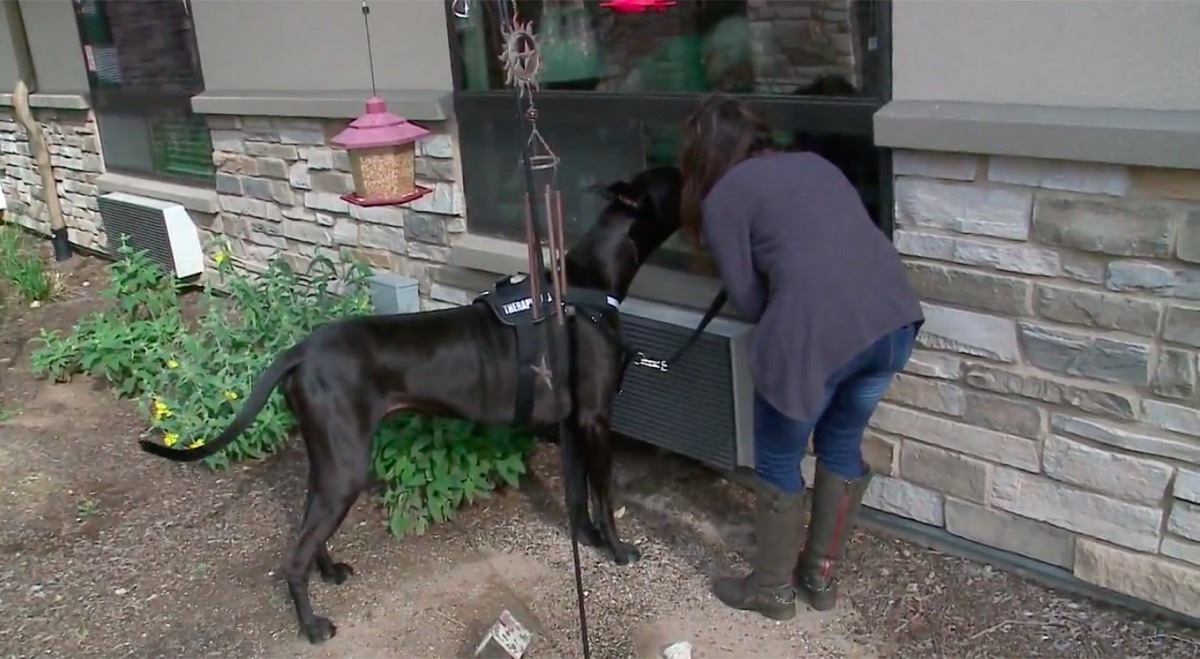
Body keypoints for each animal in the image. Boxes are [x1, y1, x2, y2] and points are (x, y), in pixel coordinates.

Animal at [138, 164, 686, 643]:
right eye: (673, 178)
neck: (591, 283)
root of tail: (299, 352)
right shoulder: (595, 419)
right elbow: (606, 495)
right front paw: (618, 549)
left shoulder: (573, 423)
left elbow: (579, 495)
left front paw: (589, 538)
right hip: (347, 465)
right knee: (292, 555)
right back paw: (313, 627)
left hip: (329, 458)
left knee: (307, 524)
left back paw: (330, 571)